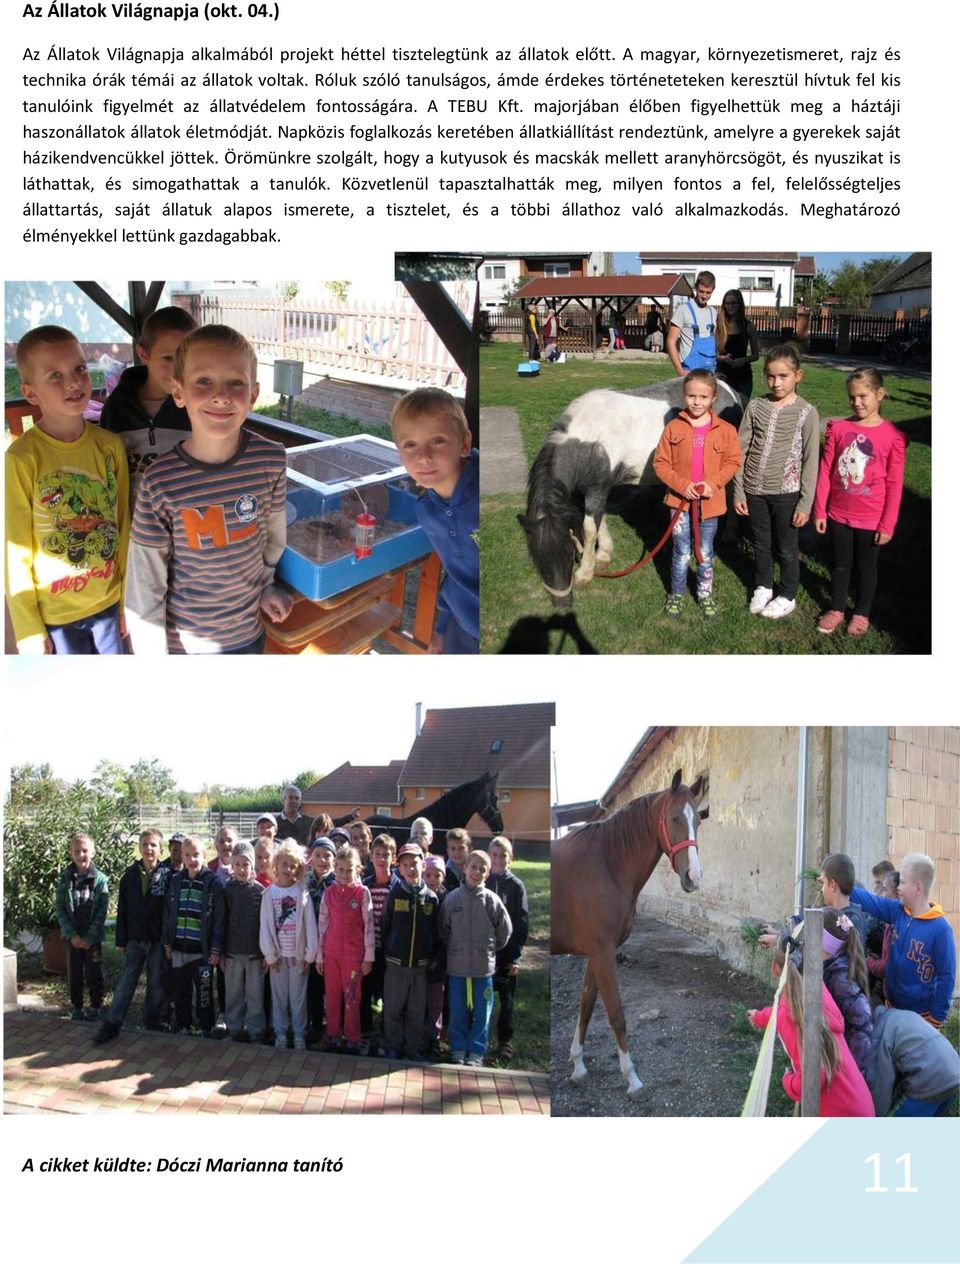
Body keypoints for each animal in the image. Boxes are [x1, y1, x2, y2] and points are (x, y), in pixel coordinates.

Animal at [518, 374, 743, 606]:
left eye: (567, 552)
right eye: (537, 559)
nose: (562, 603)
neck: (589, 441)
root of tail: (730, 391)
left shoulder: (597, 488)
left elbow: (589, 528)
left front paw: (585, 573)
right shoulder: (588, 490)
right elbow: (597, 521)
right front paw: (603, 554)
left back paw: (729, 533)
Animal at [548, 763, 708, 1102]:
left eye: (698, 820)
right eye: (674, 818)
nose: (694, 876)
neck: (607, 863)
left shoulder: (596, 952)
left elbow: (586, 1005)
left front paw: (578, 1066)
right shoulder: (602, 952)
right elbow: (616, 1014)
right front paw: (632, 1079)